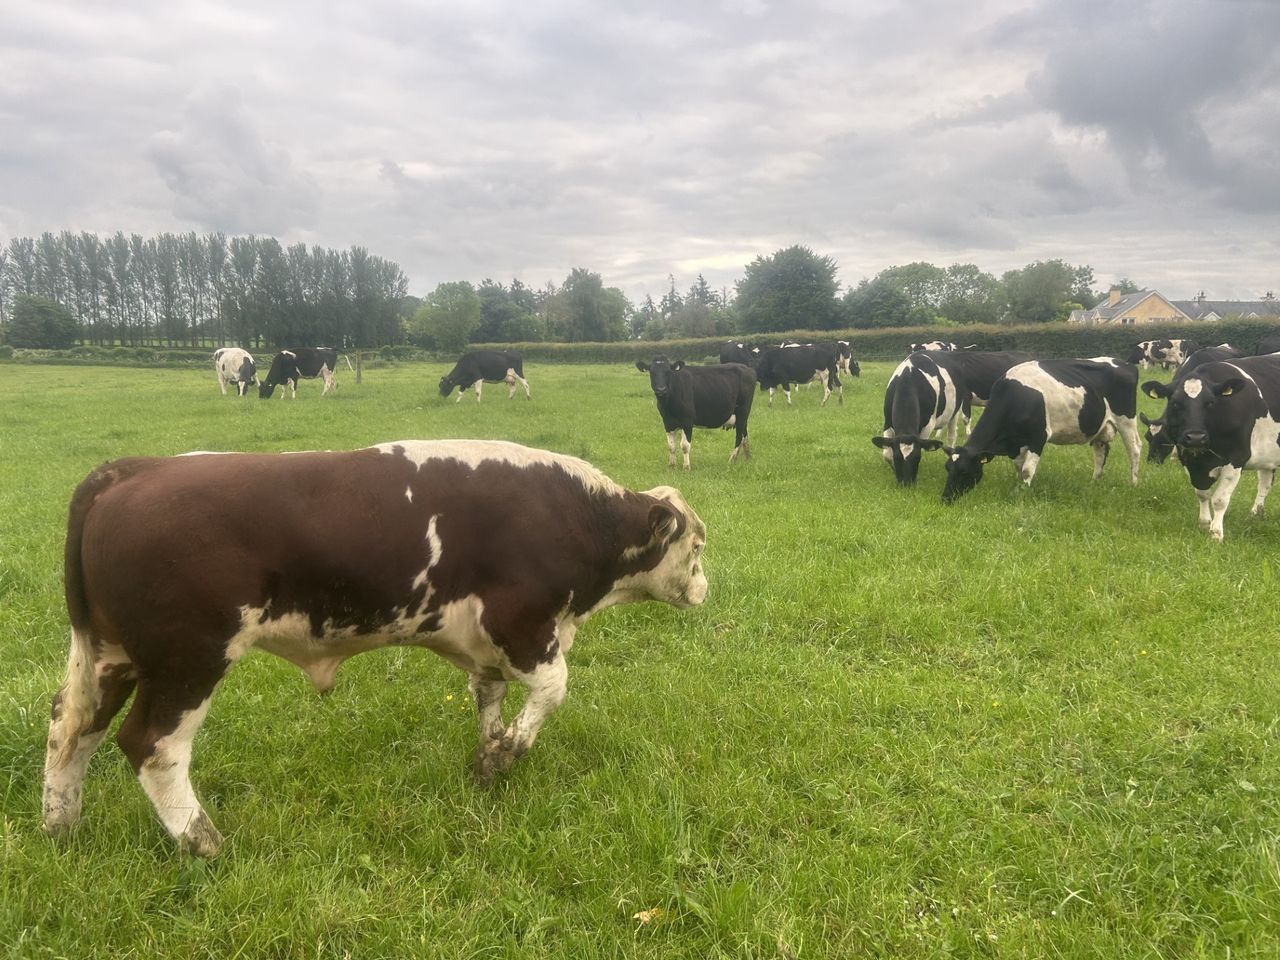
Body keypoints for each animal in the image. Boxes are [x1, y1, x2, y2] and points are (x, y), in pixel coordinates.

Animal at [41, 440, 708, 855]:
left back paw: (62, 828)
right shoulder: (523, 624)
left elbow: (487, 697)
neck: (575, 516)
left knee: (70, 728)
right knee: (152, 746)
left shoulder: (485, 644)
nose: (706, 588)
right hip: (188, 658)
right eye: (698, 545)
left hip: (110, 656)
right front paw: (507, 755)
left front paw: (487, 759)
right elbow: (552, 689)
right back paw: (202, 842)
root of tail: (134, 470)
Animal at [939, 359, 1141, 503]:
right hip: (1100, 427)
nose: (946, 498)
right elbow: (1019, 467)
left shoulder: (1038, 437)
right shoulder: (1018, 442)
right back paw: (1094, 482)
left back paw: (1133, 483)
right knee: (1101, 452)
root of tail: (1125, 364)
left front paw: (1023, 492)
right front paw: (1019, 486)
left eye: (964, 471)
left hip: (1127, 420)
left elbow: (1027, 470)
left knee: (1134, 450)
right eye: (947, 468)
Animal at [1138, 355, 1280, 541]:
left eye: (1211, 403)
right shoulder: (1188, 459)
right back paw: (1255, 514)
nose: (1196, 437)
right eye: (1175, 403)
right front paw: (1205, 524)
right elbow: (1202, 494)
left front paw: (1216, 533)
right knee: (1265, 482)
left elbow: (1219, 500)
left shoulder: (1237, 459)